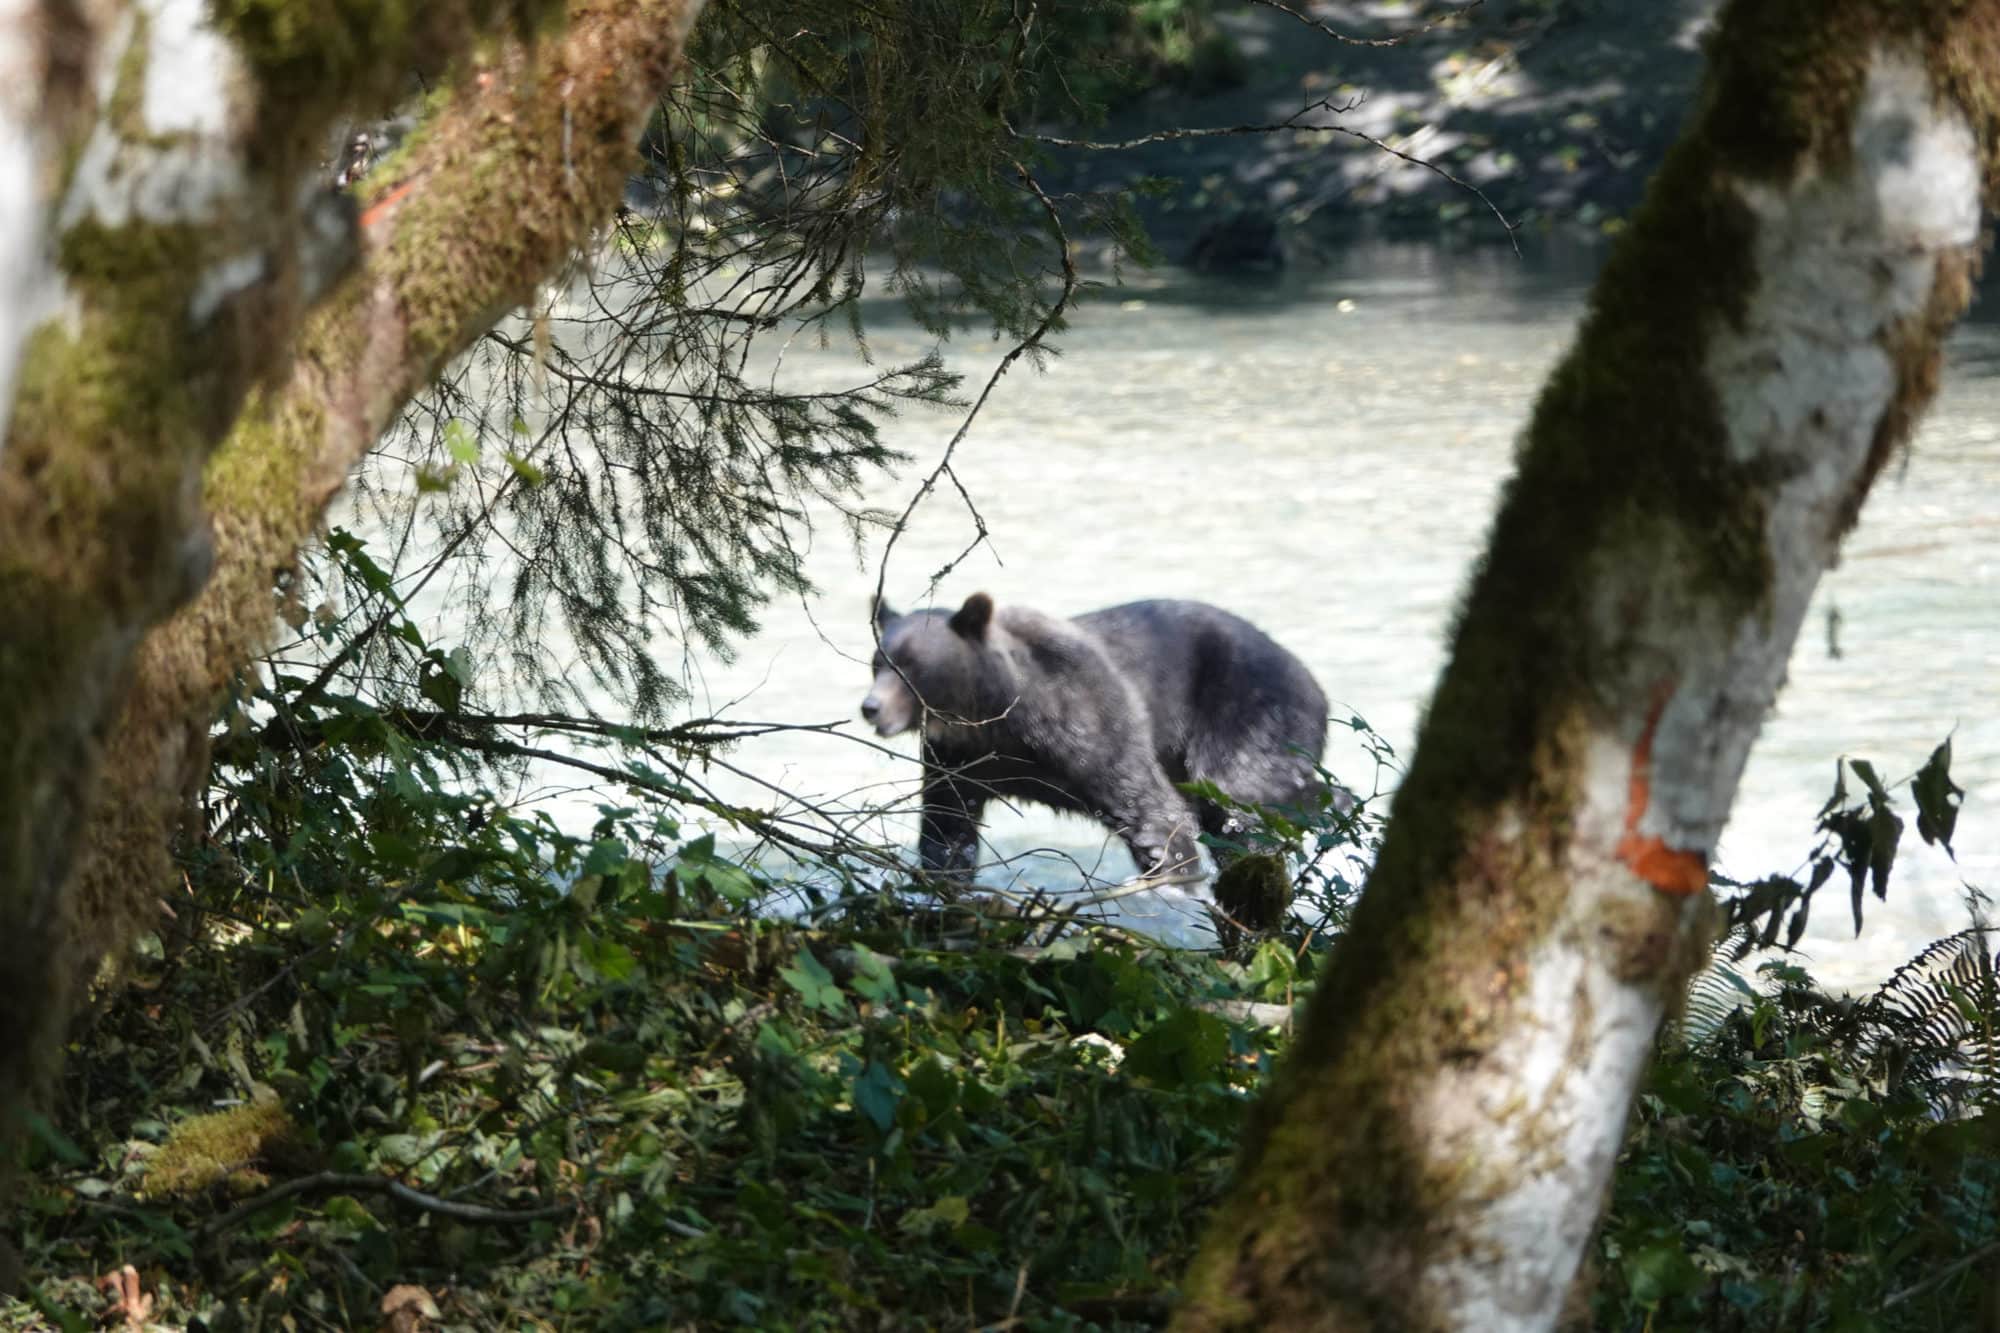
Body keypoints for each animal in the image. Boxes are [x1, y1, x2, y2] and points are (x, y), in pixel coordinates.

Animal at [860, 592, 1329, 882]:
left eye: (911, 666)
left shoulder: (1085, 714)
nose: (871, 707)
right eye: (876, 662)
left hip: (1249, 710)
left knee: (1243, 798)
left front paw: (1173, 871)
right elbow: (947, 828)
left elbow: (1150, 808)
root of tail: (1315, 683)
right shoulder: (957, 757)